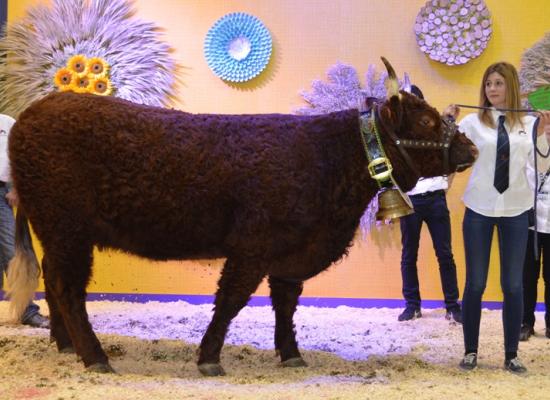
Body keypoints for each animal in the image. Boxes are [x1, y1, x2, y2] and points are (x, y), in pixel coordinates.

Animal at [6, 58, 476, 376]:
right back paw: (96, 357)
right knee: (69, 288)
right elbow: (230, 301)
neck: (329, 158)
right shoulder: (252, 247)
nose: (470, 148)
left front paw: (291, 354)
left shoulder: (292, 253)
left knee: (54, 280)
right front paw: (210, 358)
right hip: (67, 228)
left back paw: (65, 345)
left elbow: (286, 304)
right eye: (426, 120)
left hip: (59, 233)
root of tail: (31, 115)